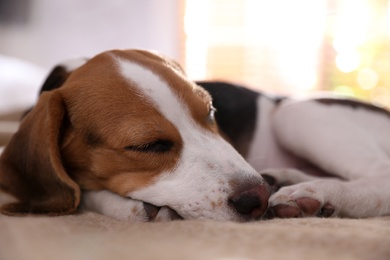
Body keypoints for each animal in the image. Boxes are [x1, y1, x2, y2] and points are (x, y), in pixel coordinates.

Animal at [0, 49, 388, 221]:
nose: (259, 199)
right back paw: (286, 181)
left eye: (211, 112)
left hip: (294, 113)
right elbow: (81, 191)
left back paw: (313, 194)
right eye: (148, 145)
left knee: (378, 178)